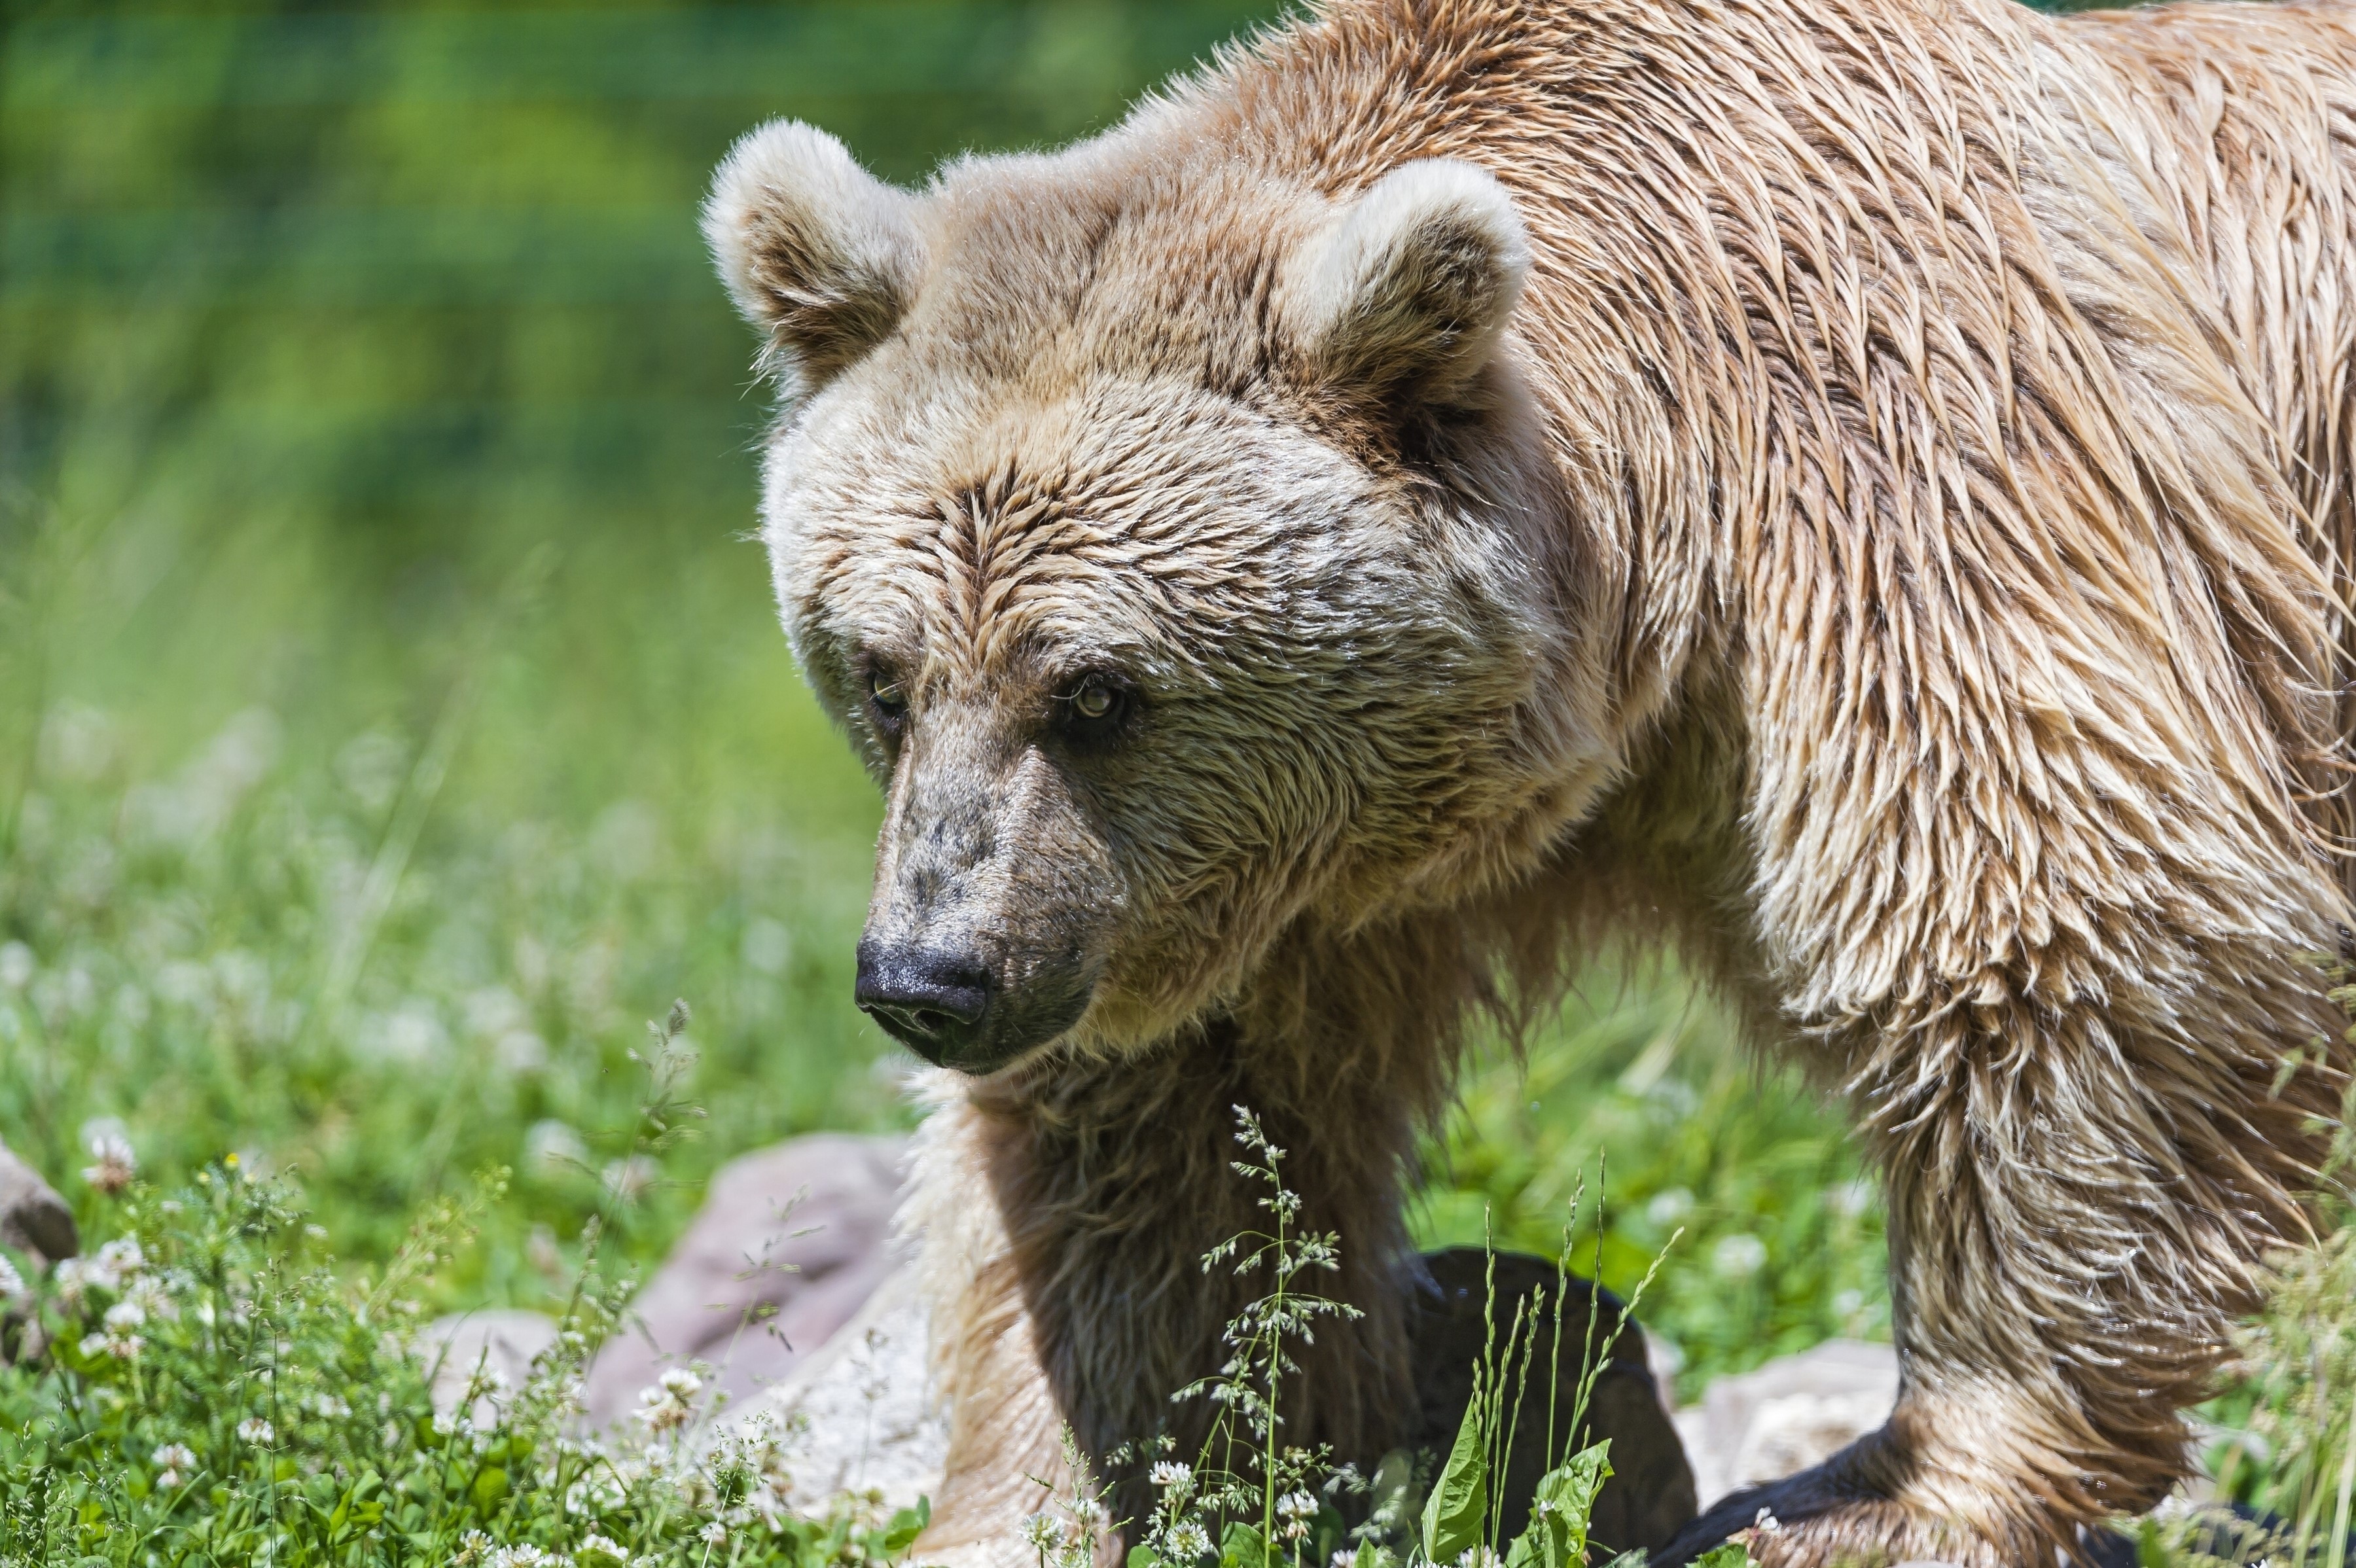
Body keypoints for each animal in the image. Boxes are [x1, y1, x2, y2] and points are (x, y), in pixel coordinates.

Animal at [700, 0, 2356, 1562]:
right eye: (882, 672)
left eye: (1098, 690)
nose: (929, 976)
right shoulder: (1284, 877)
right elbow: (1170, 1151)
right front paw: (1072, 1488)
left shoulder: (1931, 471)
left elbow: (2061, 943)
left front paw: (1874, 1493)